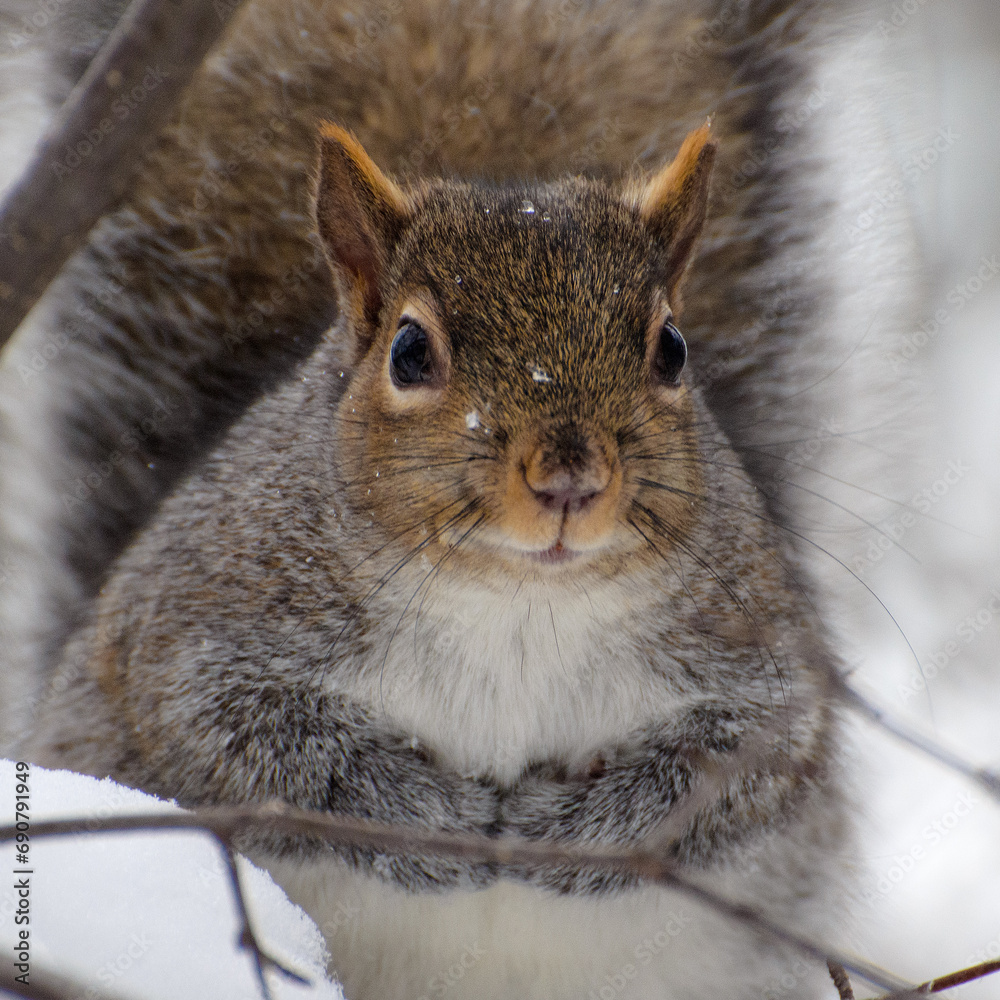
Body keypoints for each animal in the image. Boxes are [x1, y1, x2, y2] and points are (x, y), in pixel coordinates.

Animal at [0, 0, 913, 996]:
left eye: (672, 348)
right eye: (409, 352)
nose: (569, 477)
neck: (516, 600)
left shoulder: (761, 661)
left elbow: (743, 769)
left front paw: (576, 833)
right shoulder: (192, 632)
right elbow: (253, 745)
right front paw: (433, 819)